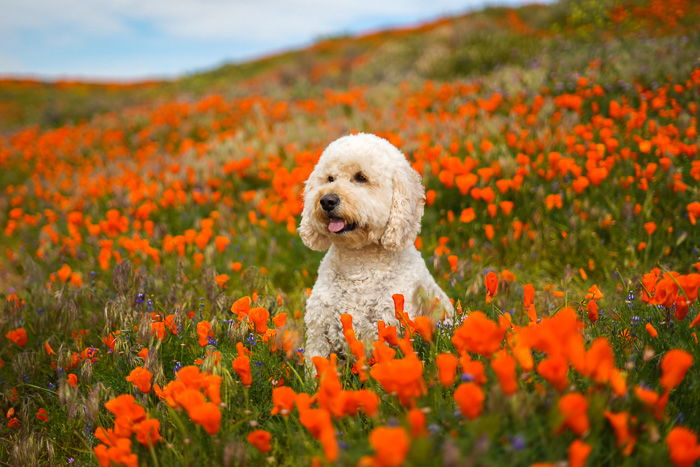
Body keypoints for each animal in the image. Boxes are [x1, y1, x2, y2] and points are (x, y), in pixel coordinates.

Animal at [300, 133, 454, 360]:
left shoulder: (388, 327)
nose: (327, 200)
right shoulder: (319, 332)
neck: (358, 264)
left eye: (361, 177)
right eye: (329, 178)